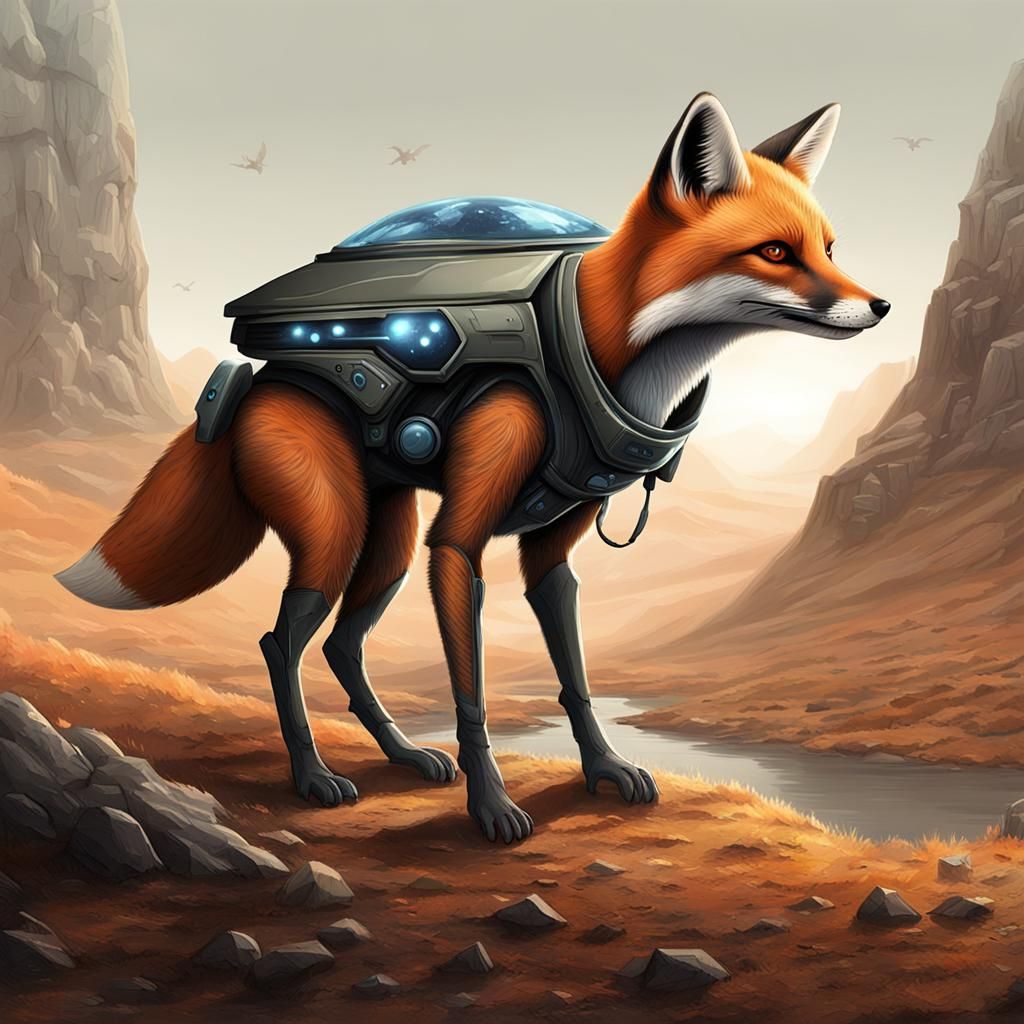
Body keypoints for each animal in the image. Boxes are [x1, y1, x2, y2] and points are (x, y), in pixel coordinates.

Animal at [57, 93, 889, 844]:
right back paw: (314, 776)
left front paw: (603, 769)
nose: (880, 306)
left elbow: (577, 683)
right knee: (281, 645)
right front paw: (491, 809)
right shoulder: (458, 545)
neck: (590, 349)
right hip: (336, 537)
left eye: (829, 248)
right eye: (775, 252)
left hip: (389, 547)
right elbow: (473, 698)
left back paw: (404, 755)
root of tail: (249, 383)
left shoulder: (549, 556)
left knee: (340, 646)